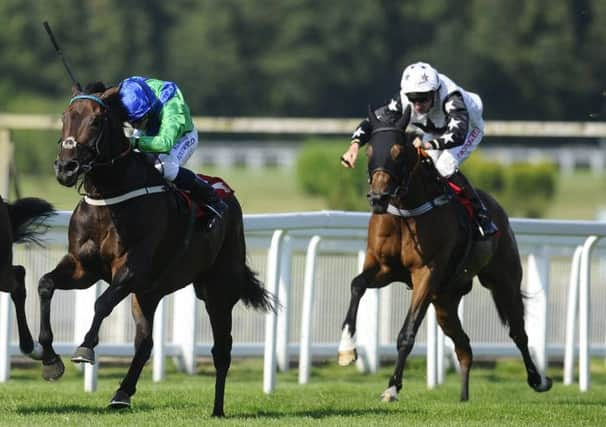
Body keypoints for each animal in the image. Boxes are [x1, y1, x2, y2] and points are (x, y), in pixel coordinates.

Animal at [37, 82, 276, 416]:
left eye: (96, 121)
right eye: (65, 117)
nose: (66, 167)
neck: (109, 198)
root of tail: (227, 196)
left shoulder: (132, 269)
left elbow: (102, 304)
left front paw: (85, 347)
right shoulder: (83, 268)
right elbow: (45, 284)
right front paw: (49, 360)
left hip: (218, 290)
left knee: (222, 350)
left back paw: (217, 409)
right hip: (149, 294)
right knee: (145, 343)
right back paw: (121, 394)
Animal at [338, 107, 556, 402]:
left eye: (398, 152)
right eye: (370, 151)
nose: (378, 198)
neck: (406, 210)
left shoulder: (426, 274)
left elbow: (407, 333)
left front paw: (392, 387)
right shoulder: (383, 268)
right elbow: (356, 285)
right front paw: (346, 349)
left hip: (503, 281)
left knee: (518, 333)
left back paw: (538, 380)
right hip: (445, 300)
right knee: (464, 346)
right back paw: (463, 398)